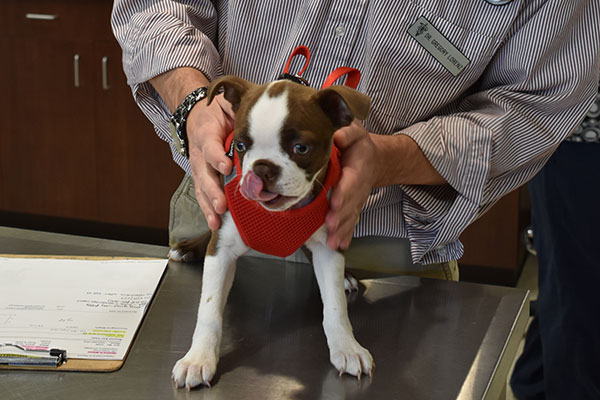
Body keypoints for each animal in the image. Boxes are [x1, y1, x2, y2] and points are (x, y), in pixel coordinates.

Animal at [171, 74, 372, 388]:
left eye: (301, 148)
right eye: (240, 146)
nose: (262, 168)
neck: (277, 215)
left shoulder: (329, 245)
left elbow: (336, 306)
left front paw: (347, 347)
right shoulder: (222, 247)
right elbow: (209, 307)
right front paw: (199, 358)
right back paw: (189, 248)